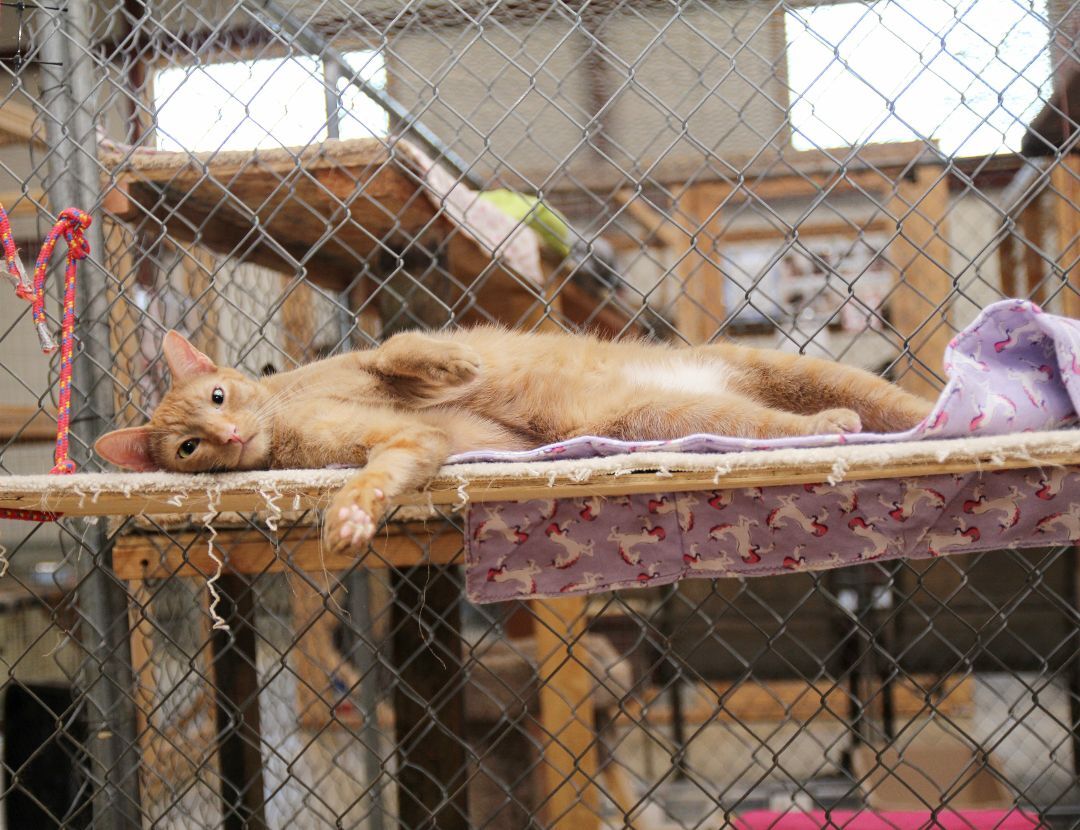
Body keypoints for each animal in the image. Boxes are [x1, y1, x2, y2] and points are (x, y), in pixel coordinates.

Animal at [97, 328, 933, 552]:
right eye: (187, 450)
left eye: (217, 395)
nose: (229, 432)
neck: (288, 408)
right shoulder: (405, 440)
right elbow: (379, 474)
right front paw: (352, 518)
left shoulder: (378, 371)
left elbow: (400, 346)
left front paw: (454, 362)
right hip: (659, 418)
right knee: (780, 424)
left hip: (780, 373)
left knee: (895, 404)